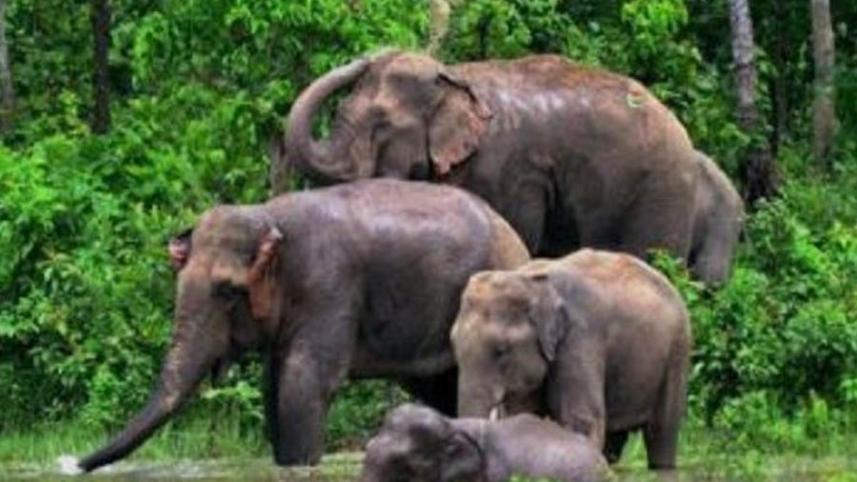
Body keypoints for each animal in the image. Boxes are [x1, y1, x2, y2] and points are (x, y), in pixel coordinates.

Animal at [76, 179, 529, 472]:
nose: (75, 464)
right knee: (439, 387)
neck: (268, 216)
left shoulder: (330, 286)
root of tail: (513, 234)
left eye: (228, 291)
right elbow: (273, 384)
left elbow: (304, 380)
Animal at [451, 249, 691, 470]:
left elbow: (581, 422)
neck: (528, 281)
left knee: (661, 432)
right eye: (453, 344)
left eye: (501, 351)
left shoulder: (580, 336)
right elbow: (524, 417)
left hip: (677, 350)